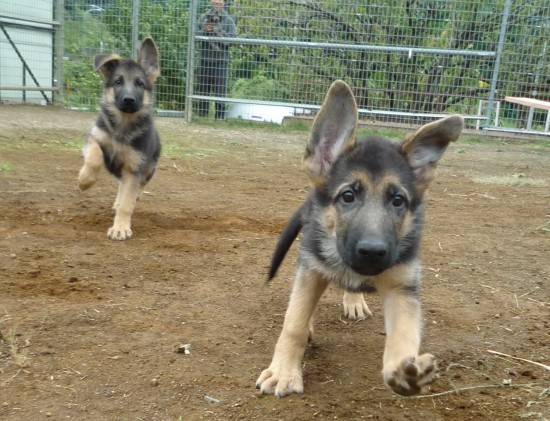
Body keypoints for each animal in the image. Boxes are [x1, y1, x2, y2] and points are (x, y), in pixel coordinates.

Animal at [78, 37, 163, 241]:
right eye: (118, 81)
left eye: (140, 83)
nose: (129, 99)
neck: (123, 126)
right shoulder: (94, 137)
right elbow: (94, 159)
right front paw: (85, 180)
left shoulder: (134, 168)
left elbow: (127, 203)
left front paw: (120, 228)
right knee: (120, 187)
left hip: (148, 169)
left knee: (133, 189)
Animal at [258, 79, 466, 398]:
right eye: (348, 196)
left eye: (397, 201)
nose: (372, 251)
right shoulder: (311, 268)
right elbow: (294, 321)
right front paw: (283, 372)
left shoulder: (402, 286)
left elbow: (404, 333)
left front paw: (404, 369)